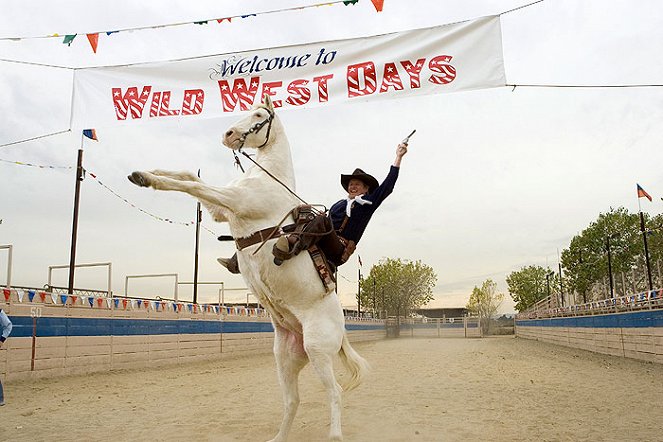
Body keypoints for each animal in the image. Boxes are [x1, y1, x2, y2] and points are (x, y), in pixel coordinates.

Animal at [127, 95, 370, 440]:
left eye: (258, 115)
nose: (228, 134)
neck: (266, 176)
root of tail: (342, 327)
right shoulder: (222, 209)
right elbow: (191, 177)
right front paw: (144, 172)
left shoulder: (235, 200)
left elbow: (194, 187)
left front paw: (150, 179)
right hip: (286, 356)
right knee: (292, 400)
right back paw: (278, 438)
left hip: (318, 350)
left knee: (334, 391)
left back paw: (334, 435)